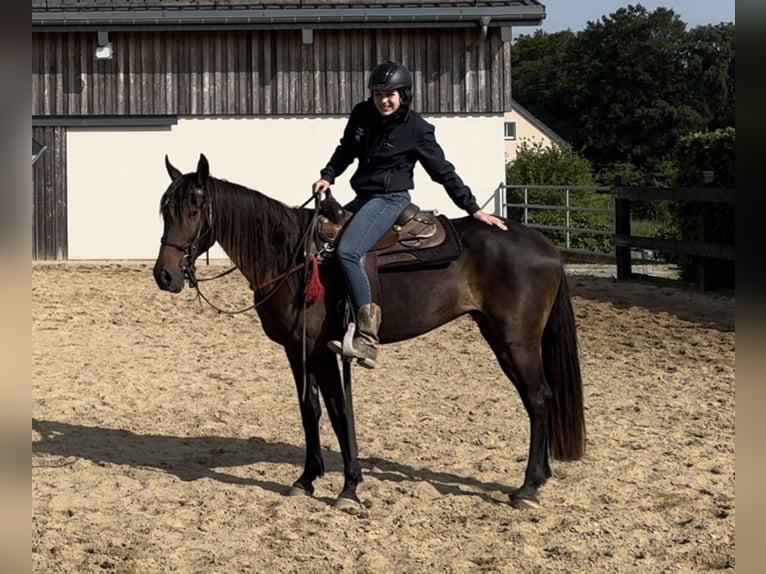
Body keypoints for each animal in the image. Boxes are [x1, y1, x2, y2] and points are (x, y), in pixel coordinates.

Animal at [153, 154, 584, 512]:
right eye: (165, 210)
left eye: (194, 208)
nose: (165, 275)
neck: (292, 256)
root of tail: (543, 243)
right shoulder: (296, 350)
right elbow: (309, 408)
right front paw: (307, 478)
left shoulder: (323, 352)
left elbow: (339, 411)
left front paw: (350, 488)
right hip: (499, 337)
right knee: (535, 399)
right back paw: (540, 477)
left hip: (517, 340)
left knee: (539, 399)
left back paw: (528, 487)